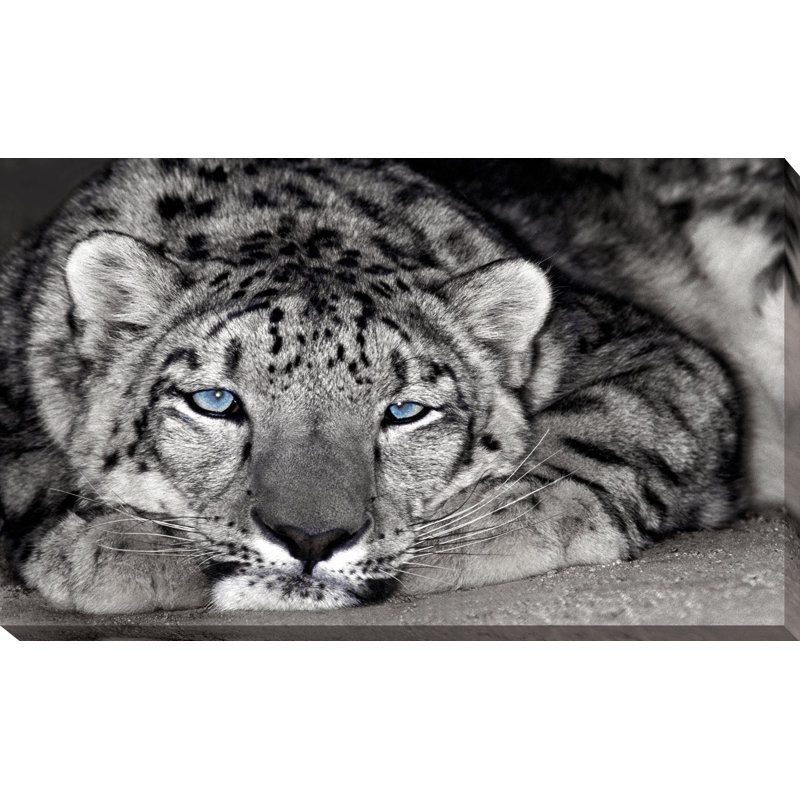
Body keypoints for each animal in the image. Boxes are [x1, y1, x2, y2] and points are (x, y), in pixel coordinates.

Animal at [0, 158, 791, 613]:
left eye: (405, 410)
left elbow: (611, 424)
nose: (311, 538)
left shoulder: (646, 346)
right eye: (215, 401)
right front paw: (103, 537)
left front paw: (493, 521)